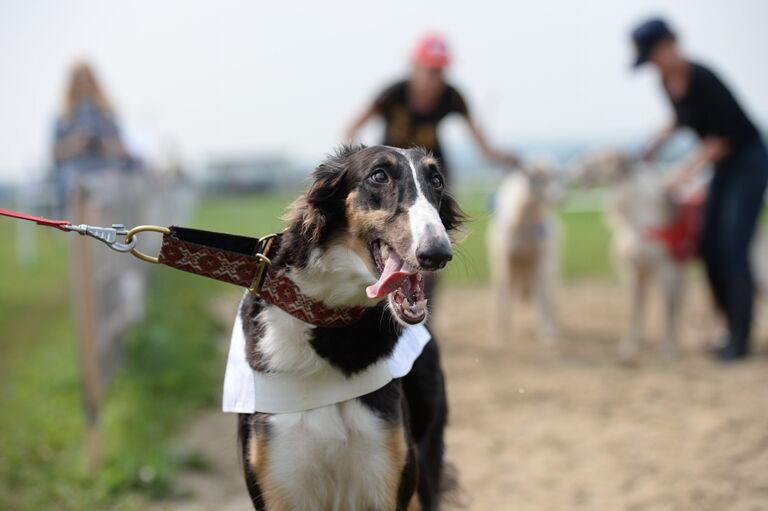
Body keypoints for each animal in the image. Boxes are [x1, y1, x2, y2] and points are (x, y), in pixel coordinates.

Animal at [236, 145, 462, 511]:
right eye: (379, 176)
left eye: (437, 181)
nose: (438, 253)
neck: (330, 324)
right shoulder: (279, 483)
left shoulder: (386, 478)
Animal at [488, 160, 560, 344]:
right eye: (539, 178)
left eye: (557, 176)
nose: (560, 197)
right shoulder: (506, 261)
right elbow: (506, 297)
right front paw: (502, 335)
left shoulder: (540, 260)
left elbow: (542, 297)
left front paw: (547, 334)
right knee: (502, 294)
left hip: (547, 266)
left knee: (548, 294)